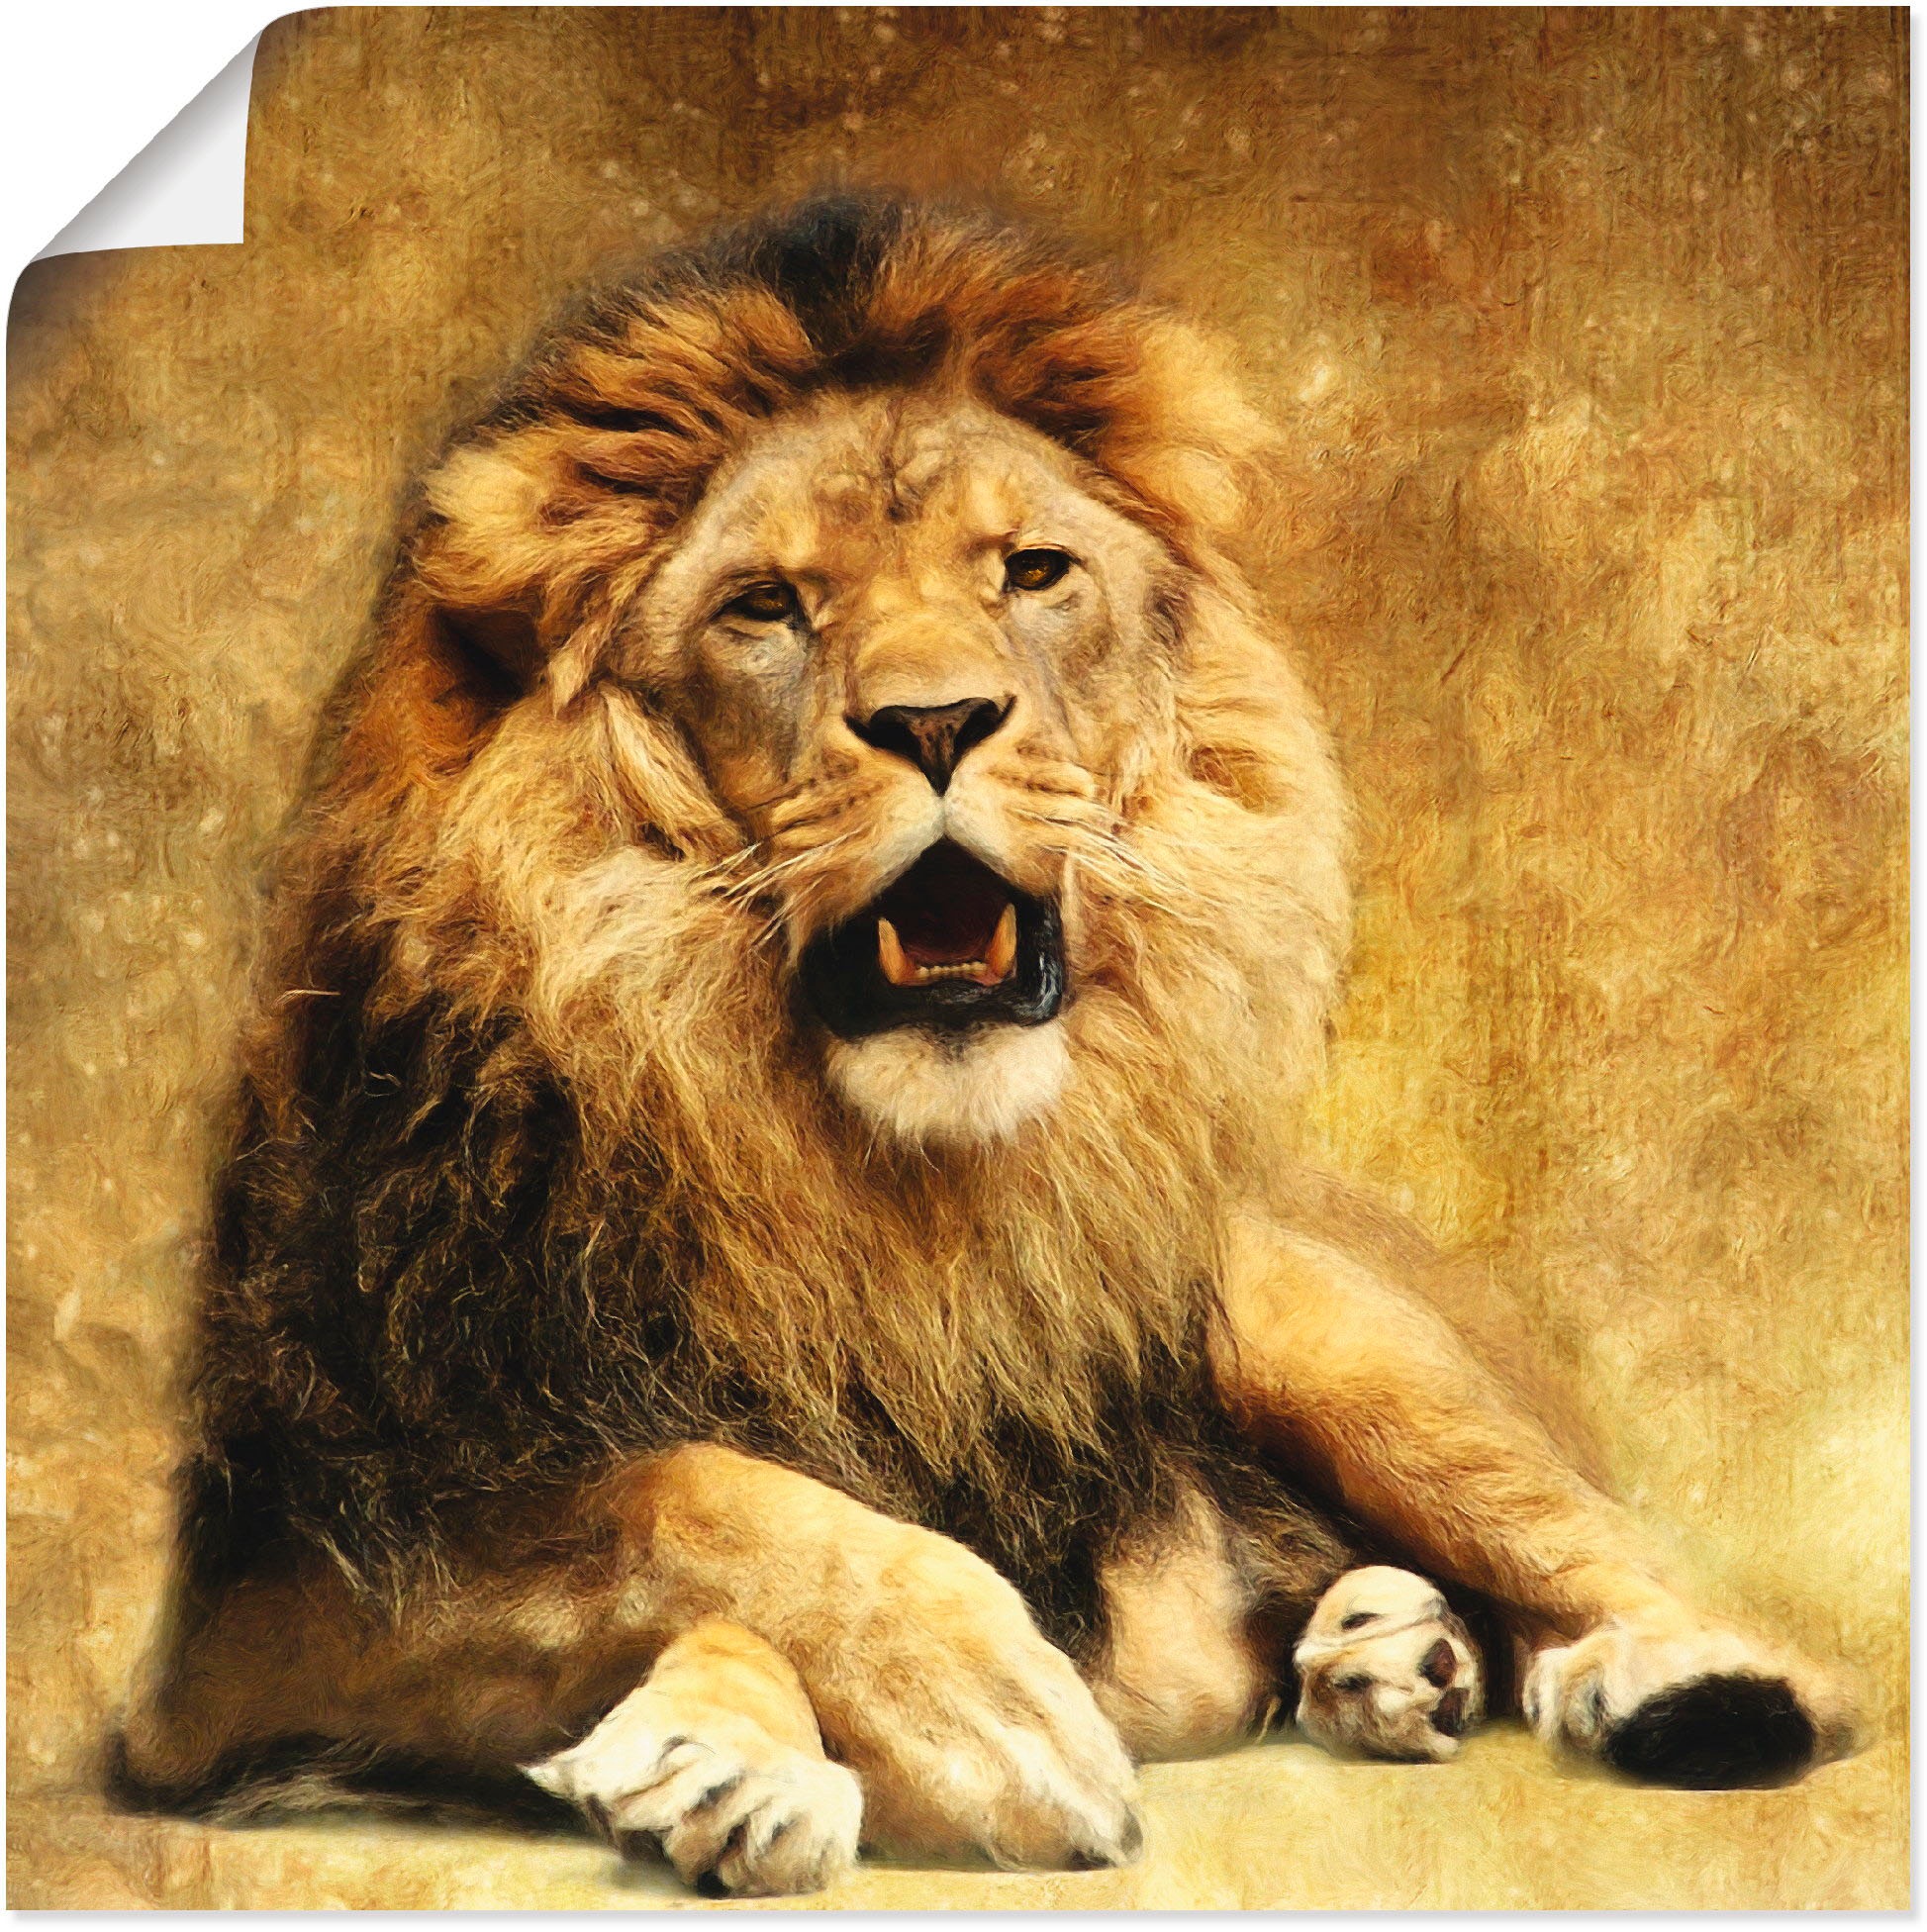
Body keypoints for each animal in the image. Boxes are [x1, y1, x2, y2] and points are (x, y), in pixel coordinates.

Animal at [116, 194, 1861, 1894]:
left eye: (1030, 574)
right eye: (764, 607)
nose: (937, 720)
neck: (874, 1194)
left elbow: (688, 1508)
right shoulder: (262, 1607)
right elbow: (677, 1499)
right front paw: (817, 1739)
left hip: (1325, 1337)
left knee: (1596, 1555)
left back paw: (1675, 1683)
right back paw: (1382, 1653)